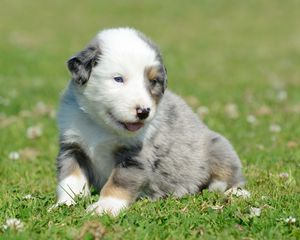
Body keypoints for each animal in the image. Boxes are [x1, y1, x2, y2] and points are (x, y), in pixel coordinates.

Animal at [56, 27, 244, 216]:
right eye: (118, 79)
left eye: (153, 81)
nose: (144, 112)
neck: (101, 126)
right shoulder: (73, 147)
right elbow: (70, 179)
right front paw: (65, 204)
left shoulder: (135, 156)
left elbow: (119, 182)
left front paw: (105, 207)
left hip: (219, 147)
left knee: (232, 177)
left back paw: (234, 192)